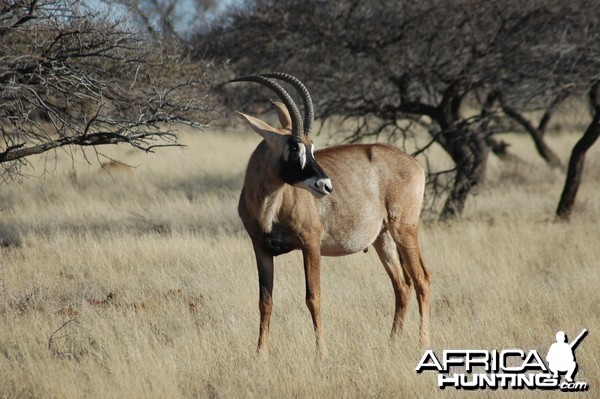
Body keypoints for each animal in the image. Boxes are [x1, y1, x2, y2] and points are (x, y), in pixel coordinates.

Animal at [231, 73, 432, 354]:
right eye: (294, 147)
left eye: (312, 146)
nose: (326, 185)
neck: (268, 207)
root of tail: (414, 163)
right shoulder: (260, 248)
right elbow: (265, 301)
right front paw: (261, 354)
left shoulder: (311, 242)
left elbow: (313, 296)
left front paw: (322, 353)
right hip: (383, 238)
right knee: (402, 285)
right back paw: (392, 343)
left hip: (404, 229)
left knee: (422, 278)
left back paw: (424, 343)